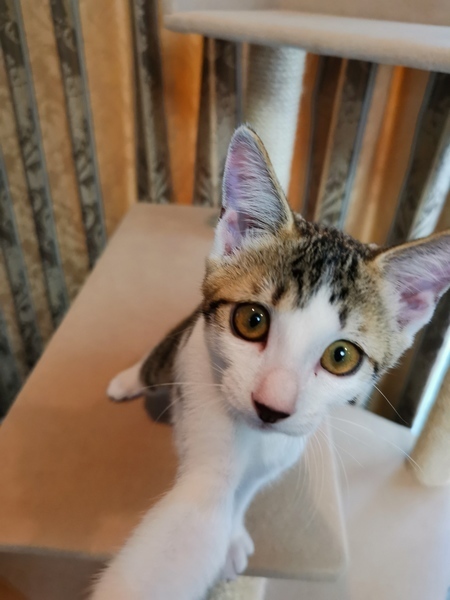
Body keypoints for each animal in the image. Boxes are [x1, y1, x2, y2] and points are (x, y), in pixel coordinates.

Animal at [91, 125, 450, 600]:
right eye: (251, 320)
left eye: (341, 356)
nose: (271, 406)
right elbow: (200, 513)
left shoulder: (283, 451)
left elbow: (244, 492)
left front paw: (234, 534)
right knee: (154, 364)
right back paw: (127, 380)